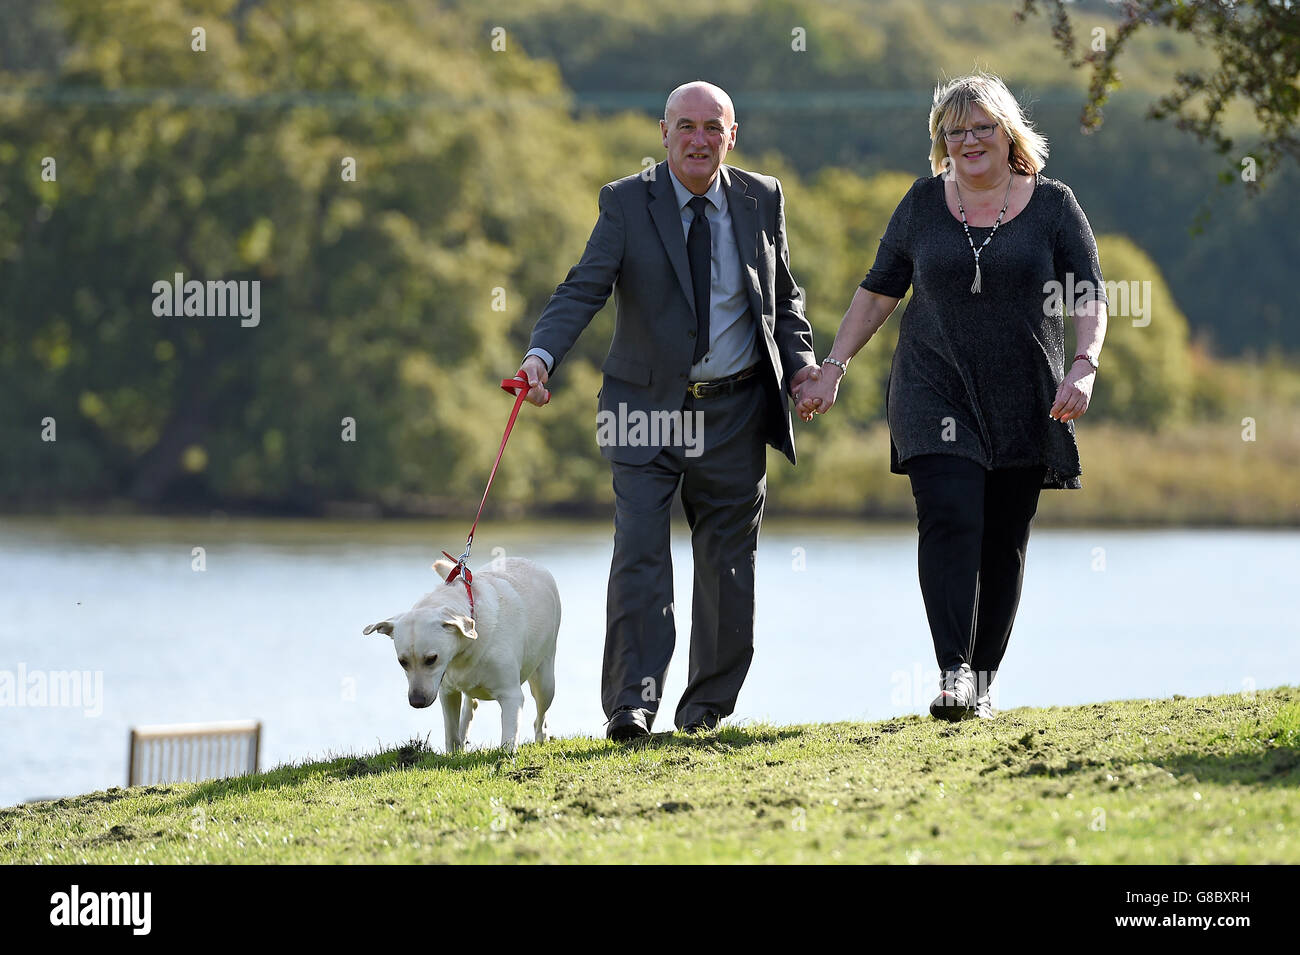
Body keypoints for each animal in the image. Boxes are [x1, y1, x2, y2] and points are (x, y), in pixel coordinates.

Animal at [364, 553, 561, 753]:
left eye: (431, 659)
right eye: (402, 662)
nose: (416, 701)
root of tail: (528, 561)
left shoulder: (510, 695)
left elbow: (508, 737)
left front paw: (506, 757)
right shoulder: (446, 692)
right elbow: (451, 733)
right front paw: (454, 753)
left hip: (546, 682)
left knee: (540, 716)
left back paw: (542, 737)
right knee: (470, 705)